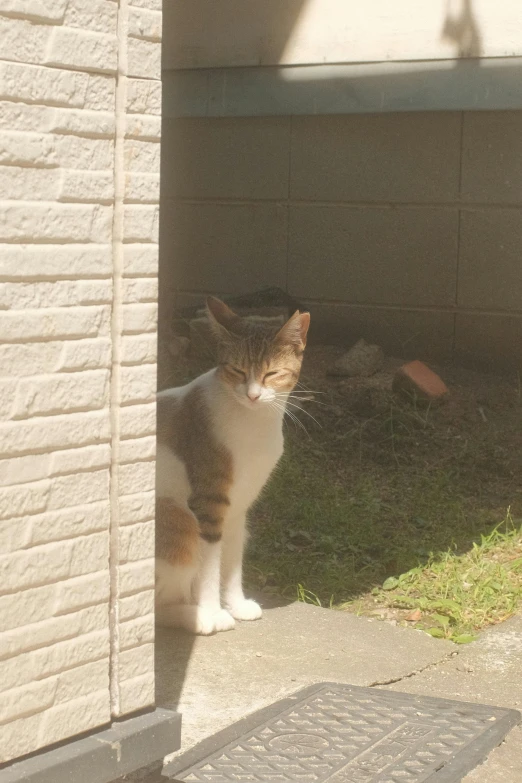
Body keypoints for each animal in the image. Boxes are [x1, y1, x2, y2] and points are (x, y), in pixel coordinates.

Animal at [154, 298, 308, 632]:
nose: (252, 395)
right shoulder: (209, 505)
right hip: (179, 521)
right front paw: (214, 611)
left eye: (271, 373)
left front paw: (236, 603)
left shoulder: (239, 508)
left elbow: (233, 561)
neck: (253, 422)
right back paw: (198, 617)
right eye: (237, 370)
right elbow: (210, 568)